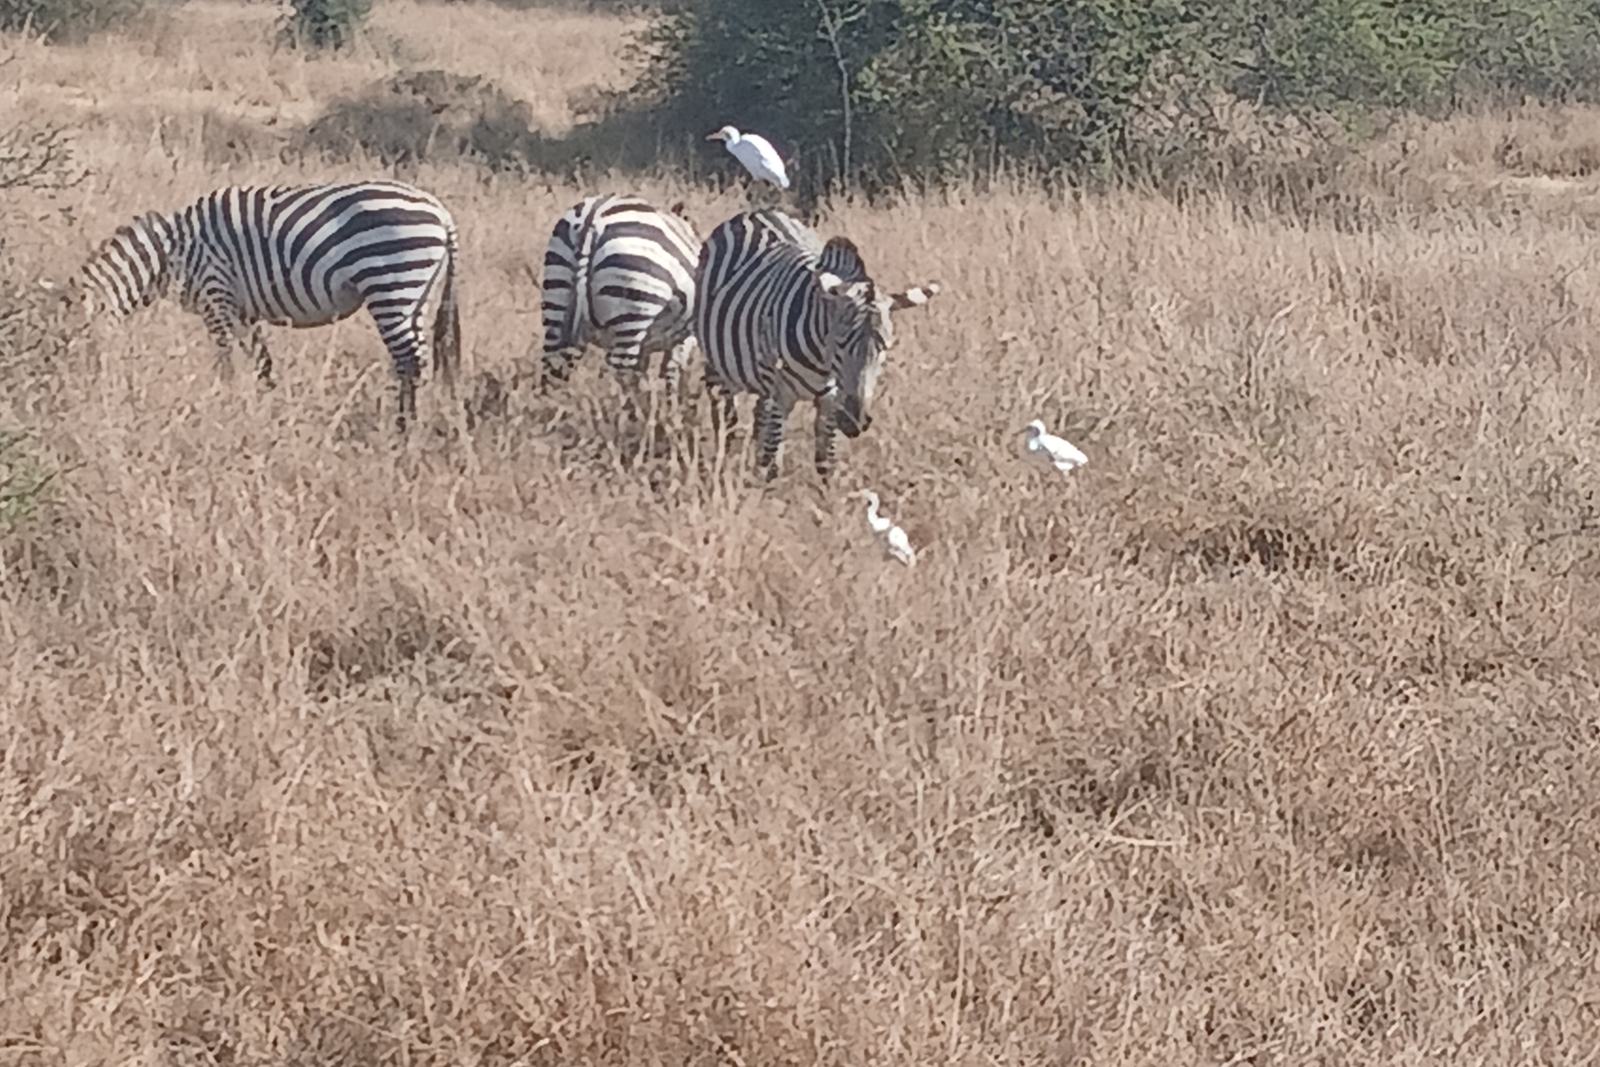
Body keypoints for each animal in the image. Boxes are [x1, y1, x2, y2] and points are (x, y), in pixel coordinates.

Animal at [75, 179, 461, 431]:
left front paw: (227, 409)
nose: (78, 405)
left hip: (391, 283)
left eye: (70, 348)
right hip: (415, 295)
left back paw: (404, 430)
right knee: (417, 360)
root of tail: (441, 212)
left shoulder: (216, 298)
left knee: (409, 361)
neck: (171, 255)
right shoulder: (242, 312)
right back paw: (410, 425)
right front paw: (268, 411)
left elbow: (227, 364)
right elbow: (263, 364)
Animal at [540, 193, 701, 412]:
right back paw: (625, 417)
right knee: (621, 373)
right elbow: (671, 372)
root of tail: (594, 218)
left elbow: (643, 374)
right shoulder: (685, 337)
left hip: (557, 300)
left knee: (552, 368)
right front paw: (671, 413)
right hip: (633, 310)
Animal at [694, 208, 941, 479]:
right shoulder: (781, 393)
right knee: (725, 414)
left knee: (758, 415)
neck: (822, 360)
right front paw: (763, 485)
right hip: (721, 368)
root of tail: (757, 213)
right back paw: (724, 459)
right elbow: (772, 459)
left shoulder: (830, 398)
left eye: (884, 348)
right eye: (840, 343)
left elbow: (825, 463)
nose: (855, 421)